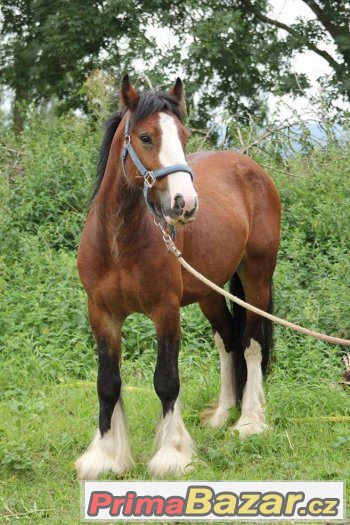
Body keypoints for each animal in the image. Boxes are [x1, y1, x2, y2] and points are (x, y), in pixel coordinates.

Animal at [75, 74, 280, 478]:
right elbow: (107, 383)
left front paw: (172, 454)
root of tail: (251, 168)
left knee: (251, 343)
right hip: (209, 292)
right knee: (227, 340)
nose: (185, 203)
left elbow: (166, 382)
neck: (119, 241)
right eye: (146, 137)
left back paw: (249, 421)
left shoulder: (165, 311)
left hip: (257, 279)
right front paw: (105, 456)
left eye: (183, 137)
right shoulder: (101, 315)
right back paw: (222, 414)